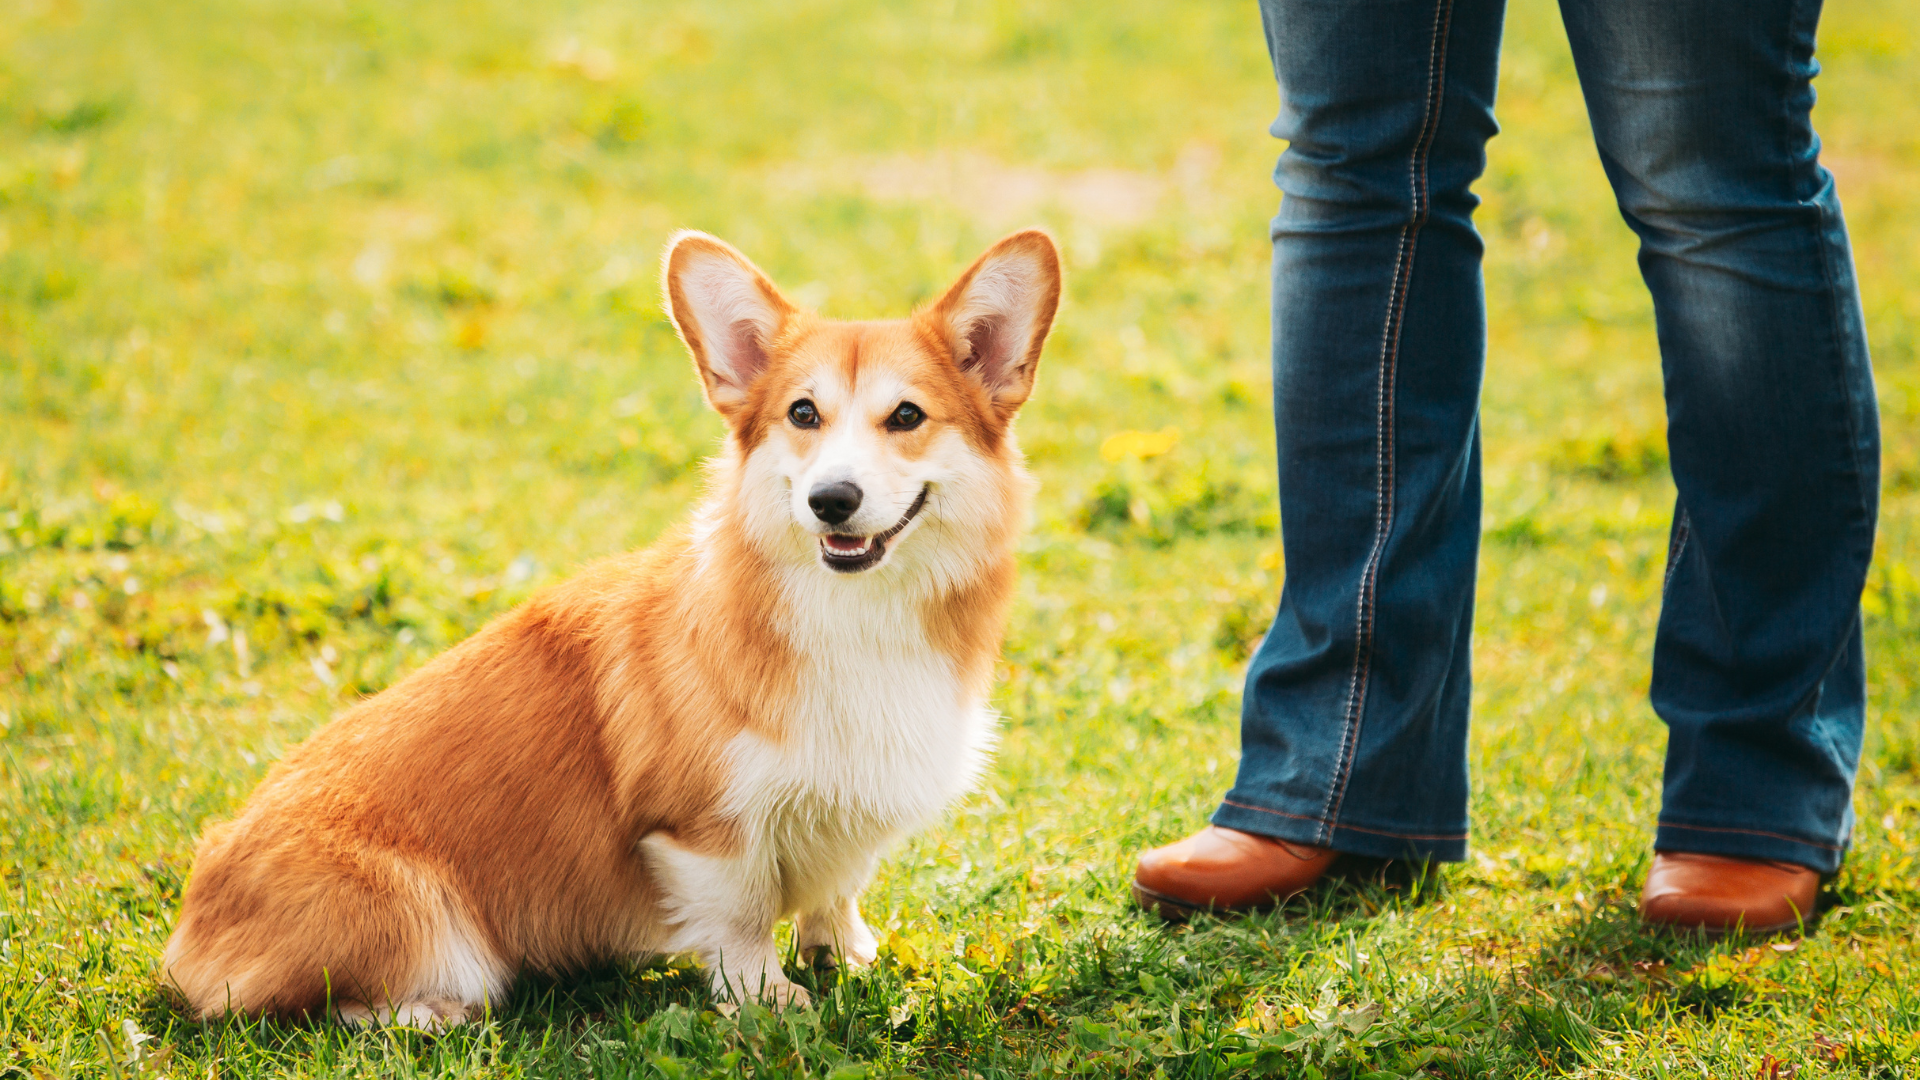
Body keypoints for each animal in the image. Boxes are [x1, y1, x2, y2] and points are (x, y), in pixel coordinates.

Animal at [159, 224, 1067, 1014]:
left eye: (906, 416)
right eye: (803, 415)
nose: (831, 500)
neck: (856, 619)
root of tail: (188, 937)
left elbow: (837, 890)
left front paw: (845, 956)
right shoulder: (702, 831)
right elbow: (742, 921)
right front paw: (771, 1003)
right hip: (423, 920)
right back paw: (431, 1013)